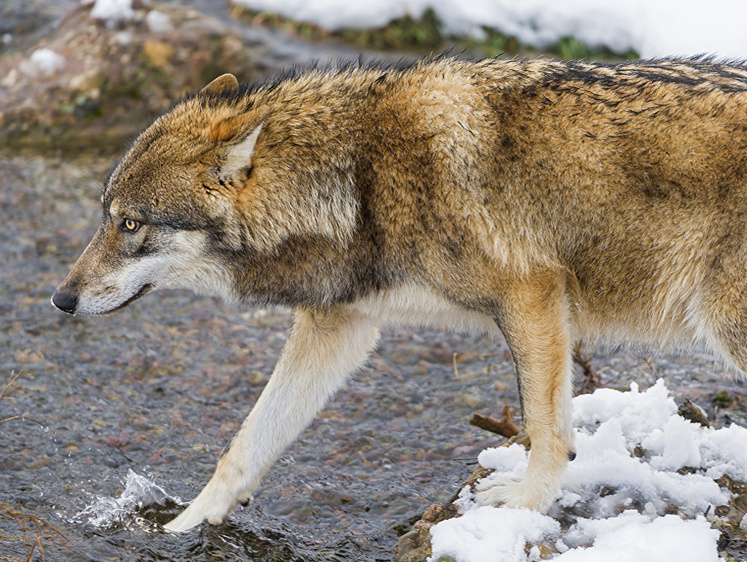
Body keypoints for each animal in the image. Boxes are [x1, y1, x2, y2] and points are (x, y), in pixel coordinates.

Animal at [54, 57, 747, 528]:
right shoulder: (340, 326)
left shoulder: (532, 296)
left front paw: (523, 505)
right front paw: (183, 527)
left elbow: (547, 429)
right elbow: (245, 445)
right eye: (105, 216)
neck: (357, 180)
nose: (61, 300)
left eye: (131, 225)